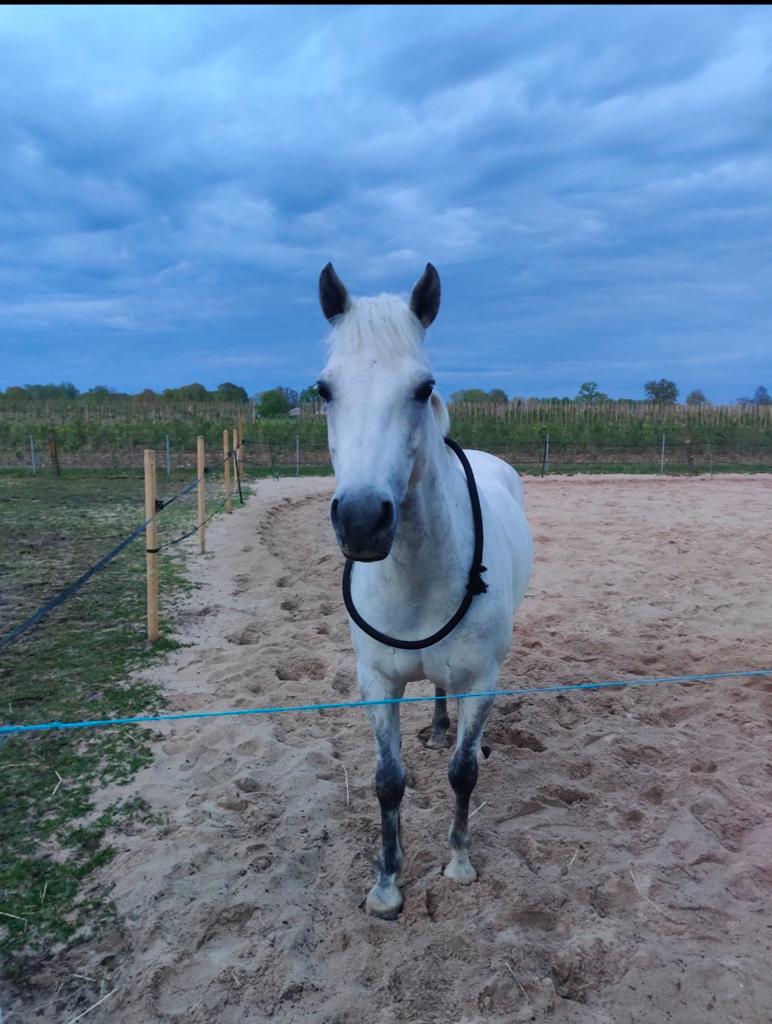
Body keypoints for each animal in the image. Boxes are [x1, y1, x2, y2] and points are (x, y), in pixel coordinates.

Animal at [317, 262, 533, 918]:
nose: (362, 520)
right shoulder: (376, 682)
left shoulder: (483, 678)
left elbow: (462, 775)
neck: (414, 577)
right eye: (324, 390)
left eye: (422, 387)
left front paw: (458, 860)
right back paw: (438, 727)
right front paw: (387, 884)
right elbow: (389, 781)